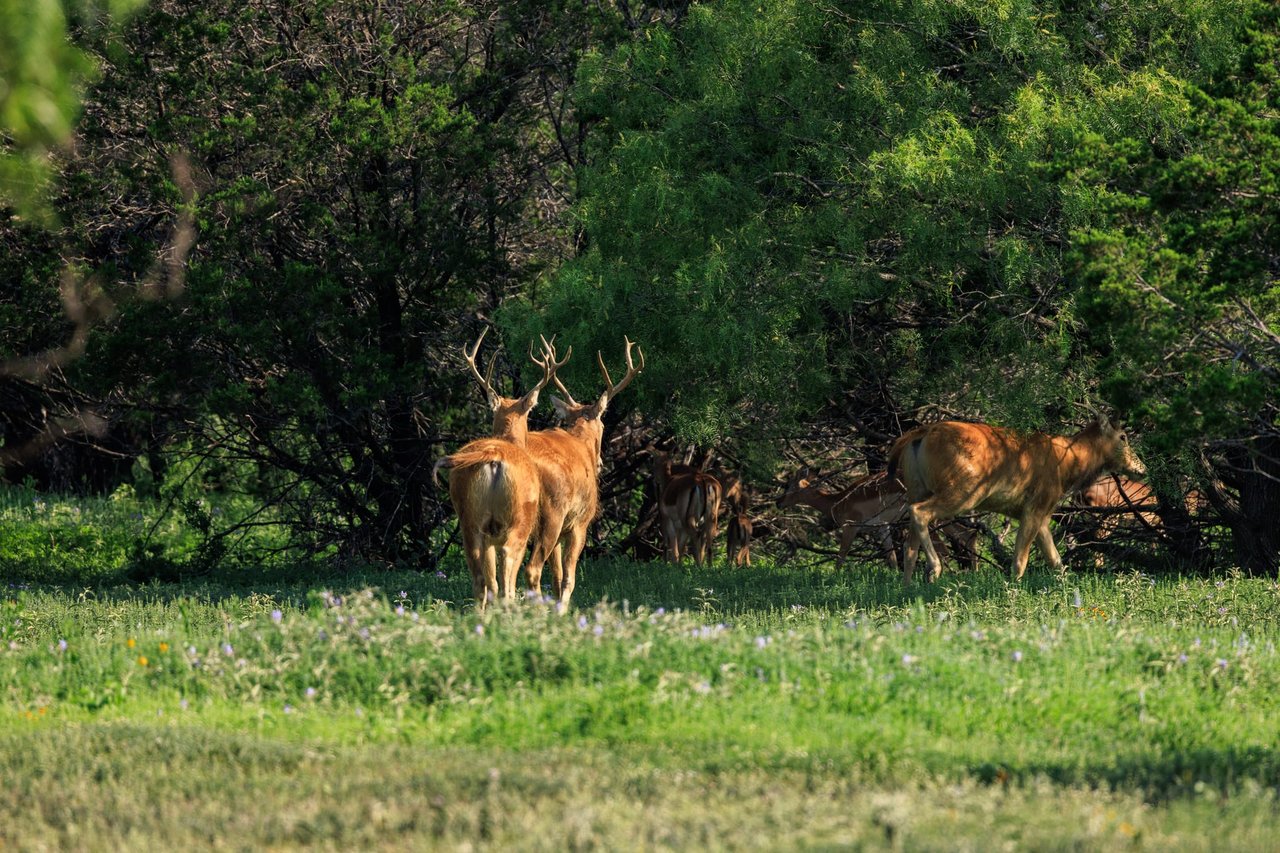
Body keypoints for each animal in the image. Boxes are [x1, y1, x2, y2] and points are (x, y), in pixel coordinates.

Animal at [432, 327, 568, 607]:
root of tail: (493, 456)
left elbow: (489, 580)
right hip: (519, 518)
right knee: (508, 573)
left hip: (470, 520)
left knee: (481, 580)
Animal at [517, 333, 640, 604]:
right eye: (603, 423)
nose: (601, 462)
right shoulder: (579, 523)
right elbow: (568, 578)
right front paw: (561, 608)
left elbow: (555, 576)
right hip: (552, 513)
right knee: (531, 568)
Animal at [773, 466, 972, 571]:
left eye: (788, 485)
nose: (778, 502)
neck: (836, 502)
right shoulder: (881, 528)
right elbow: (892, 558)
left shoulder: (850, 527)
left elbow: (840, 557)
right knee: (964, 535)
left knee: (948, 546)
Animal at [890, 412, 1152, 584]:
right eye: (1123, 437)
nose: (1142, 467)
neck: (1071, 464)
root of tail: (921, 434)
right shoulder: (1036, 503)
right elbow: (1020, 560)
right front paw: (1013, 591)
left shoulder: (1041, 513)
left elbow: (1056, 561)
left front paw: (1066, 589)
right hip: (963, 490)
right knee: (919, 512)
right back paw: (933, 570)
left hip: (917, 486)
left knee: (909, 539)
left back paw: (907, 584)